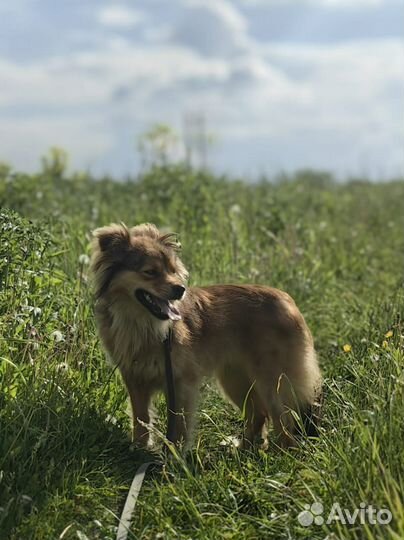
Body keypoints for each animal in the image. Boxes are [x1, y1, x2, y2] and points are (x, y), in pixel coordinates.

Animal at [90, 221, 322, 450]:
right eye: (150, 272)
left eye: (172, 270)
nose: (180, 289)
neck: (142, 323)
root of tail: (288, 302)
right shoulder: (135, 379)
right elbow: (141, 418)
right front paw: (139, 449)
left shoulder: (181, 383)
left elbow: (179, 424)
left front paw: (173, 454)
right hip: (234, 378)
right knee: (259, 414)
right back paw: (242, 449)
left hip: (271, 380)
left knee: (283, 421)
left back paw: (282, 452)